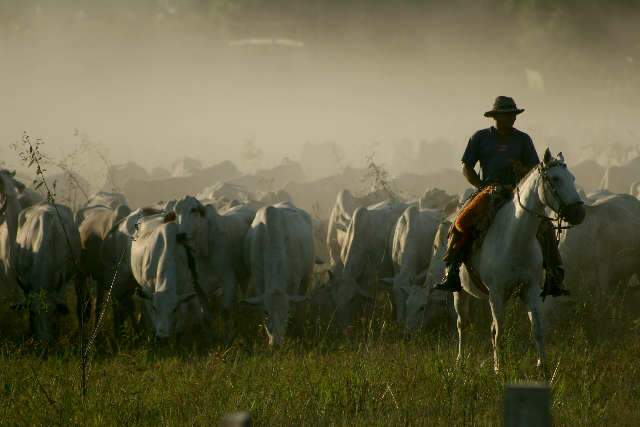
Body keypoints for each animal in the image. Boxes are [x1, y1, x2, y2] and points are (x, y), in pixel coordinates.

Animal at [456, 149, 584, 372]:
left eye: (573, 178)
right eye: (555, 179)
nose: (579, 213)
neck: (515, 239)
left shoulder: (530, 289)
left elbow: (537, 328)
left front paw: (542, 365)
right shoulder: (496, 293)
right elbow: (498, 331)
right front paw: (499, 369)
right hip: (459, 292)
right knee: (462, 323)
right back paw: (460, 361)